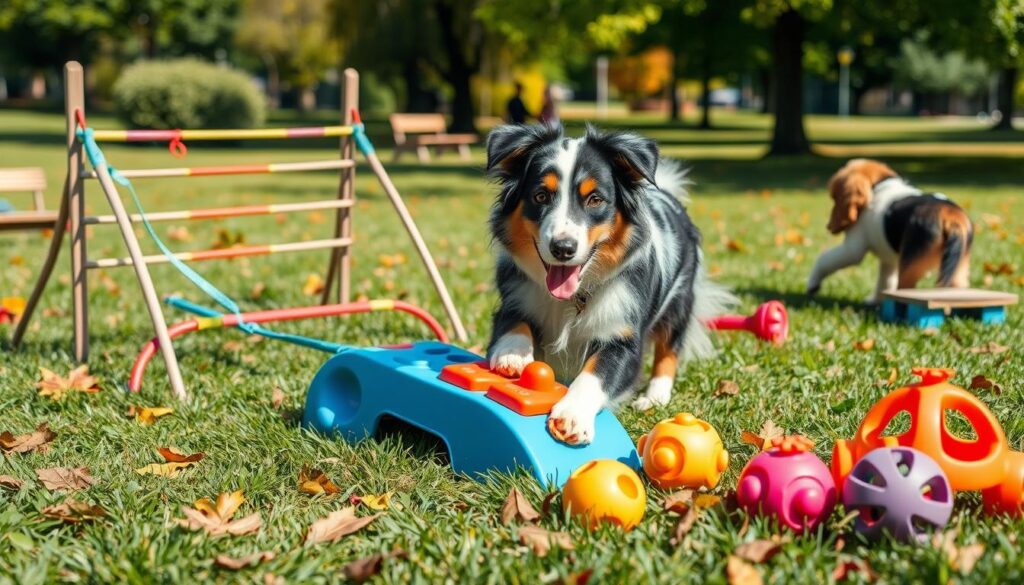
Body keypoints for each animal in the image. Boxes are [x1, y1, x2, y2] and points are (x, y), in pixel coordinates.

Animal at [483, 123, 733, 444]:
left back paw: (654, 396)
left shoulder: (622, 334)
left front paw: (572, 416)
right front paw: (512, 355)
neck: (573, 296)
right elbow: (514, 322)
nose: (563, 248)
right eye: (540, 196)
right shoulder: (515, 297)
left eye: (595, 200)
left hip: (679, 299)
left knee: (669, 346)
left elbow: (597, 372)